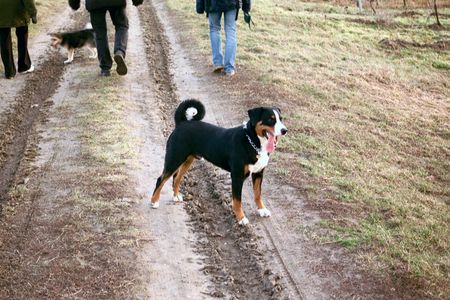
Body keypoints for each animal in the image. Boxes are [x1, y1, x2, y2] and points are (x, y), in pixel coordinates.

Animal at [149, 99, 286, 225]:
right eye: (270, 119)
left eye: (281, 119)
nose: (285, 130)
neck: (253, 142)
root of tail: (182, 123)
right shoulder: (237, 176)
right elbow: (237, 200)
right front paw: (241, 218)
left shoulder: (258, 173)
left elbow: (258, 194)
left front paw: (262, 210)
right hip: (174, 158)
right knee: (161, 179)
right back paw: (154, 201)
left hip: (188, 160)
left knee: (177, 177)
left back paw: (176, 196)